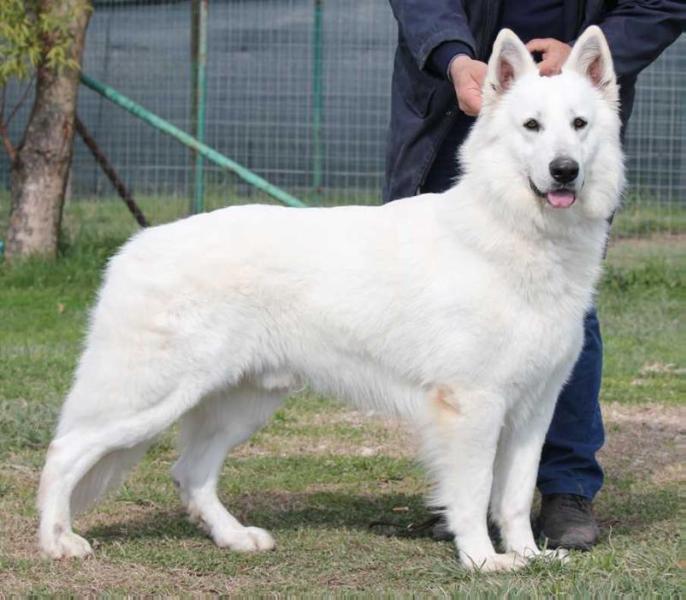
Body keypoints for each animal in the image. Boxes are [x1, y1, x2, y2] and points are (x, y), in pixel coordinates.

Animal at [40, 28, 628, 572]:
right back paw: (56, 541)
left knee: (190, 472)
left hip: (241, 403)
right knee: (64, 451)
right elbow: (474, 493)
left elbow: (514, 497)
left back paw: (234, 537)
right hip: (150, 399)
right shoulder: (472, 406)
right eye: (531, 127)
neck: (515, 233)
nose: (564, 170)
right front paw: (483, 560)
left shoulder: (534, 409)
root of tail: (135, 246)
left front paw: (528, 555)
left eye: (579, 125)